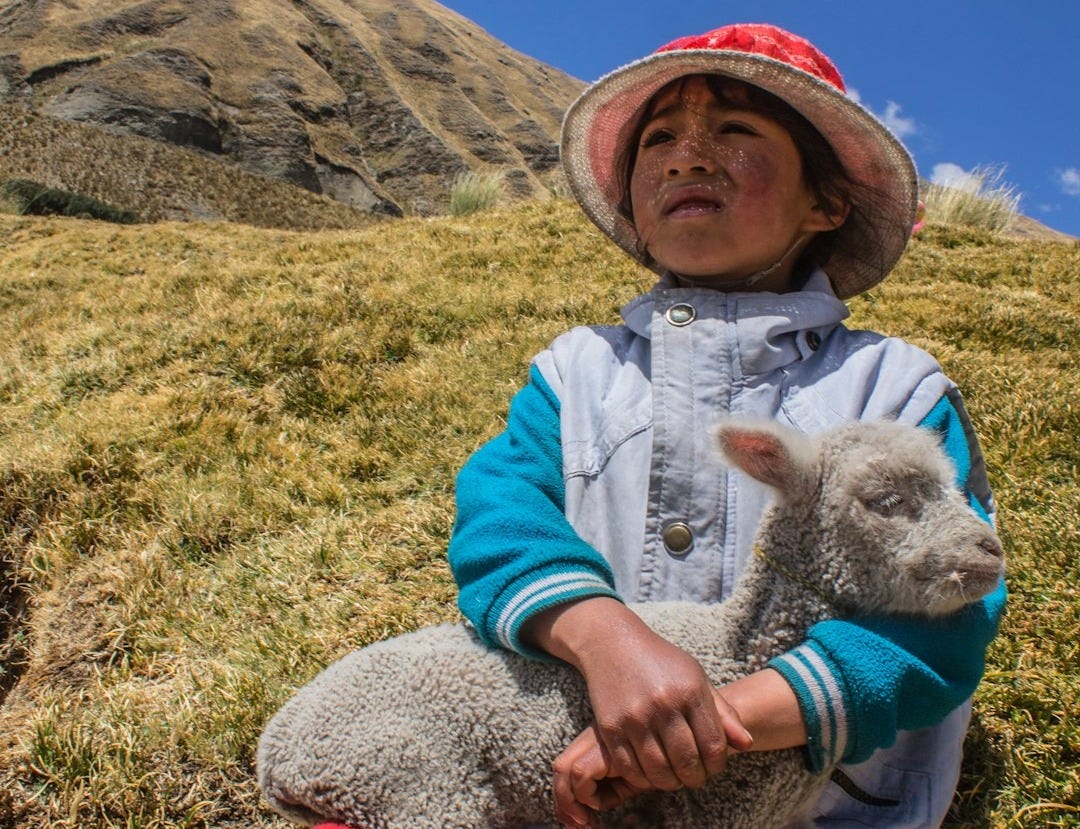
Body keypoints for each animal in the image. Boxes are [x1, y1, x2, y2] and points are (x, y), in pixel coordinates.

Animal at [254, 420, 1002, 829]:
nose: (991, 552)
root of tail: (276, 754)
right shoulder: (718, 809)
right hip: (417, 788)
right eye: (884, 500)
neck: (738, 649)